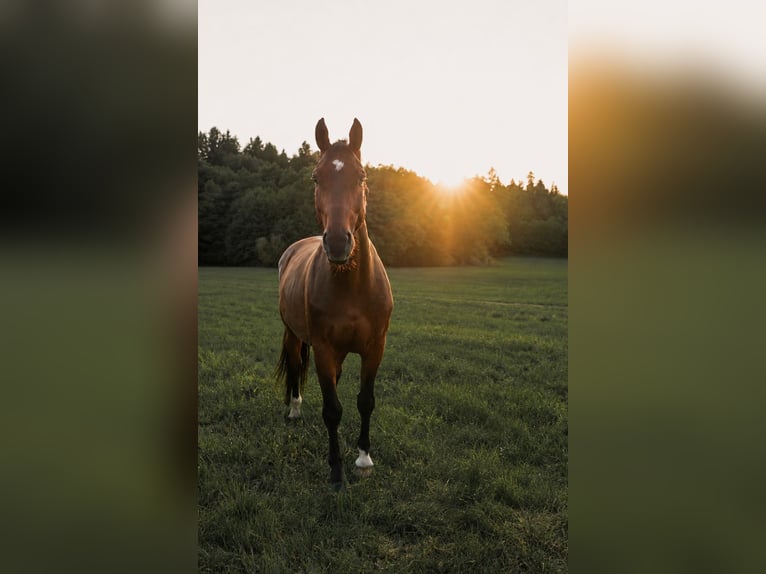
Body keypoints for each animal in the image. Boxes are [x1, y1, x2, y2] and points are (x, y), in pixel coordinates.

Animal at [275, 118, 394, 489]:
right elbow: (332, 409)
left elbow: (364, 401)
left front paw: (364, 459)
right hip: (294, 334)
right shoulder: (324, 349)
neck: (351, 286)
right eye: (316, 177)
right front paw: (336, 470)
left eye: (362, 176)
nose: (339, 242)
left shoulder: (374, 348)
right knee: (296, 365)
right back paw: (294, 409)